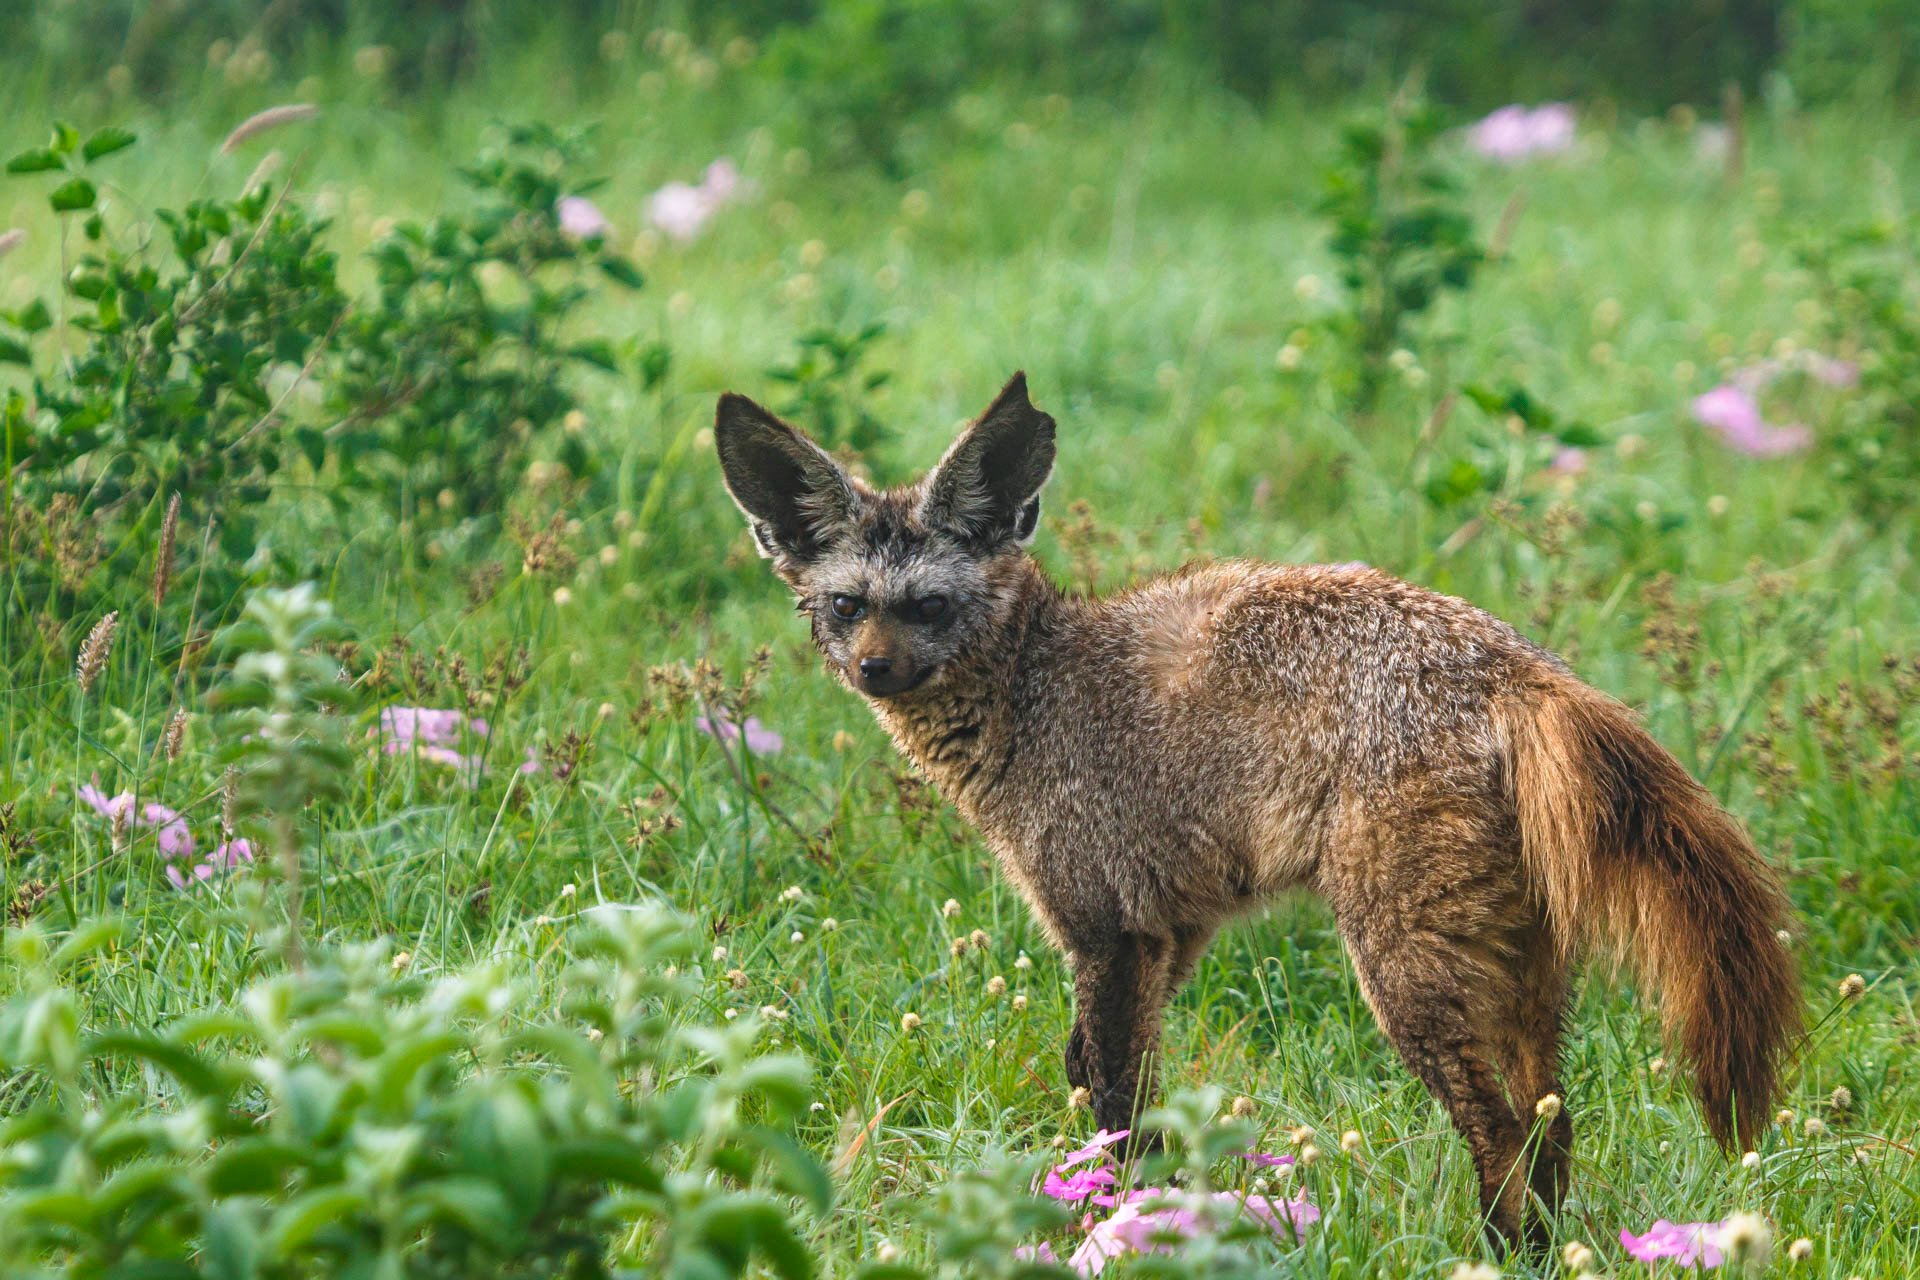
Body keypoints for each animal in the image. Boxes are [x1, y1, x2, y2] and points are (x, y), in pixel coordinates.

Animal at [718, 370, 1797, 1251]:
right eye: (848, 605)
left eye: (928, 605)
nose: (874, 670)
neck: (1033, 687)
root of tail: (1515, 665)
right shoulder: (1171, 931)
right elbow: (1106, 1084)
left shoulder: (1104, 928)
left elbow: (1113, 1100)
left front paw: (1117, 1227)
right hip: (1519, 969)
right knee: (1552, 1124)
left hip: (1403, 971)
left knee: (1498, 1130)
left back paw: (1500, 1254)